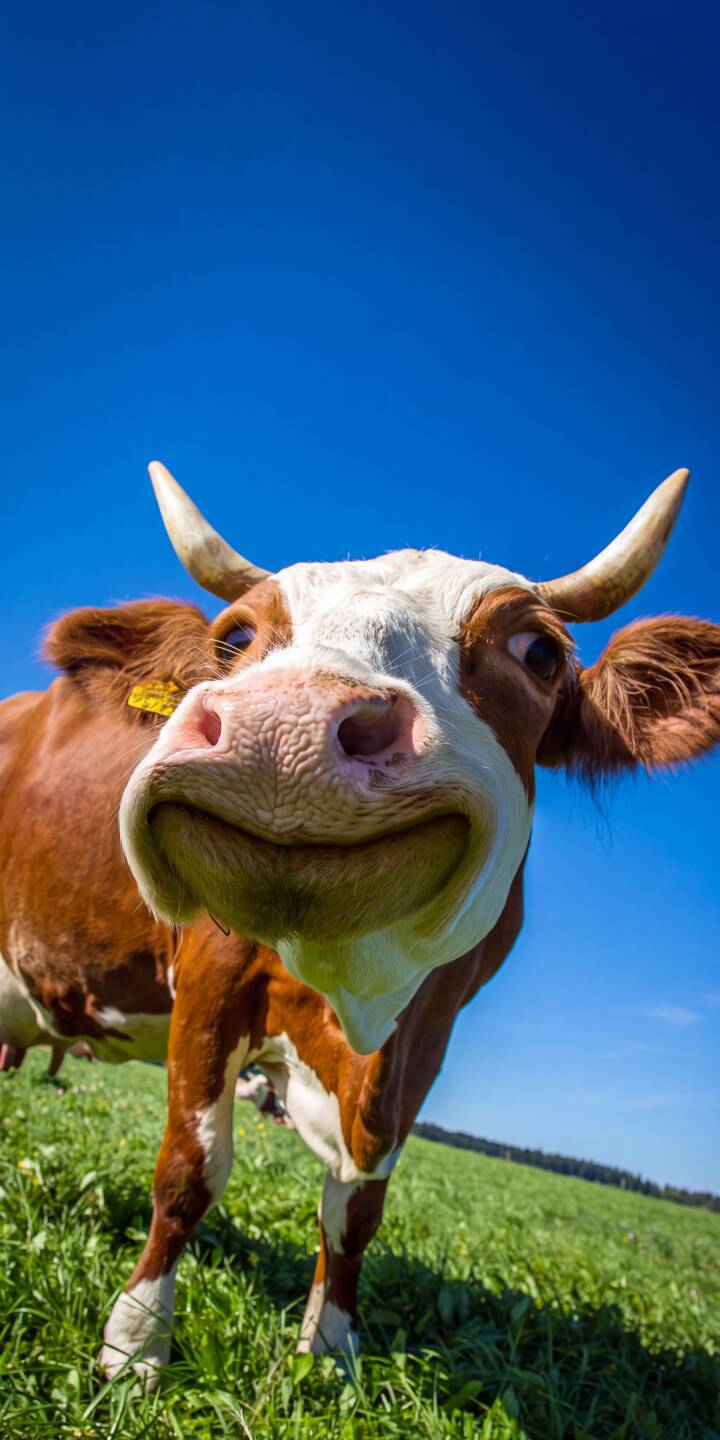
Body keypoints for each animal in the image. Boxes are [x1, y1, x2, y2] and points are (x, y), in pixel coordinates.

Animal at [0, 462, 717, 1386]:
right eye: (236, 638)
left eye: (539, 652)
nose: (284, 728)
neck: (356, 998)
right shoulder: (209, 980)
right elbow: (190, 1170)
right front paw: (135, 1345)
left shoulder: (430, 1031)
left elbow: (358, 1205)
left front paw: (331, 1348)